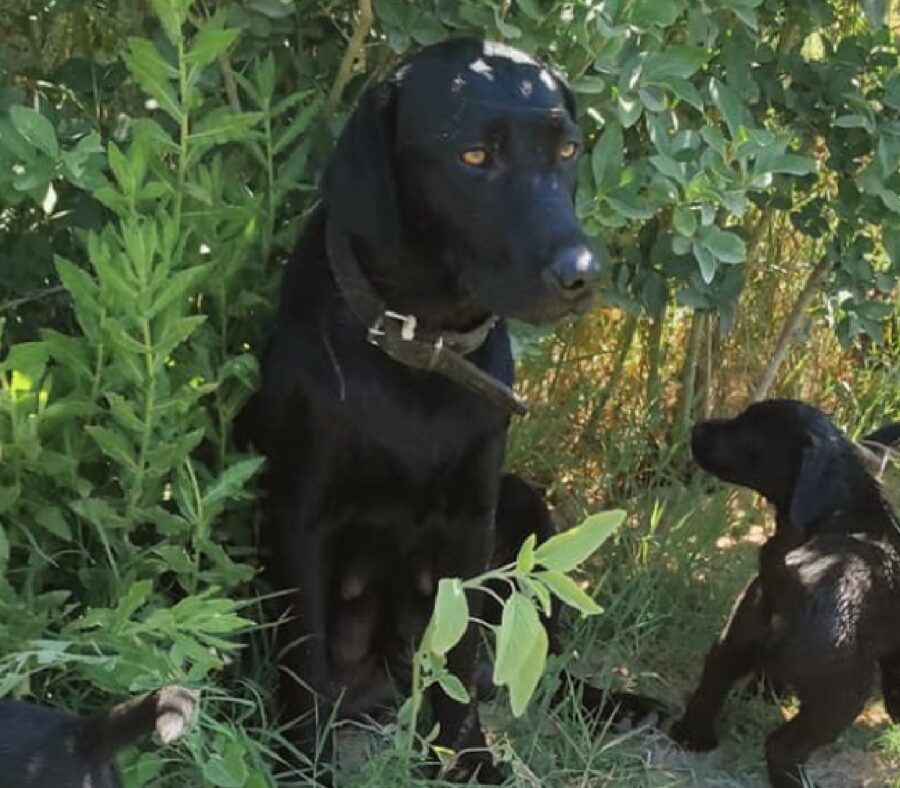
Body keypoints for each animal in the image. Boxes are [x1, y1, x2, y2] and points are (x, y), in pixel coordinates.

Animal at [239, 38, 604, 780]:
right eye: (475, 156)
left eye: (568, 149)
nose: (582, 273)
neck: (422, 346)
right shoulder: (301, 514)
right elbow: (302, 656)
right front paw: (302, 763)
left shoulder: (472, 518)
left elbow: (458, 658)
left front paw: (469, 759)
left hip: (522, 498)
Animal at [672, 400, 900, 788]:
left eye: (750, 428)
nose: (697, 428)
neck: (844, 506)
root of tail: (794, 584)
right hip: (842, 696)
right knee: (783, 746)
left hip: (731, 642)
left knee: (708, 692)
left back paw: (693, 738)